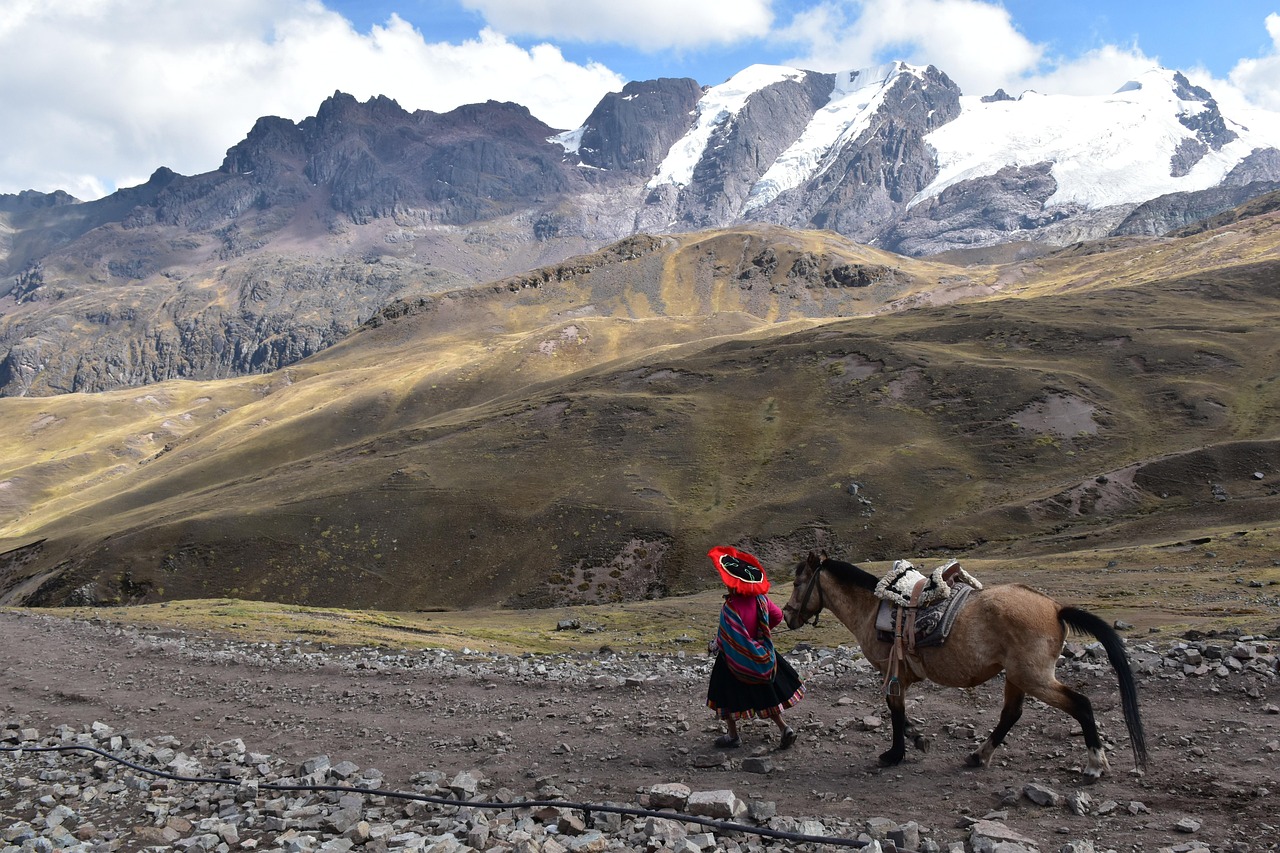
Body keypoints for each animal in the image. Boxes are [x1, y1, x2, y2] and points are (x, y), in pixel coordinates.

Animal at [778, 550, 1152, 778]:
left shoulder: (892, 673)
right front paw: (917, 740)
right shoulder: (899, 676)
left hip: (1033, 677)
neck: (872, 609)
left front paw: (895, 753)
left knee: (1081, 704)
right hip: (1016, 676)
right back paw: (978, 755)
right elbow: (900, 713)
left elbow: (895, 711)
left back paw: (1094, 764)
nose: (787, 615)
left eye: (797, 582)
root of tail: (1056, 608)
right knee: (1011, 714)